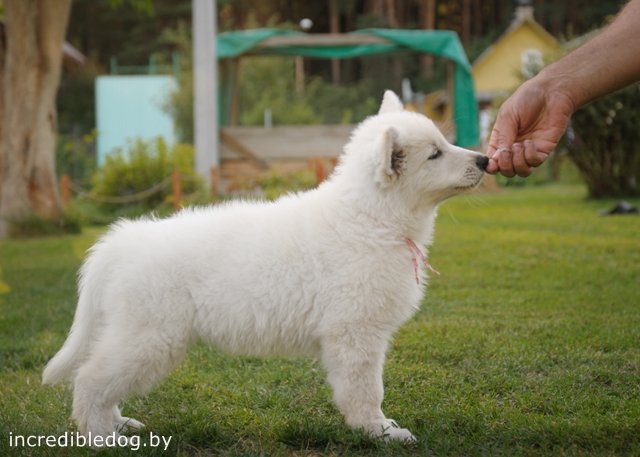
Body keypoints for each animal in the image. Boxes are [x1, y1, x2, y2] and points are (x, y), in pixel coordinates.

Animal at [42, 91, 488, 444]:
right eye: (434, 154)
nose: (485, 159)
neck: (370, 218)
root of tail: (123, 241)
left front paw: (375, 429)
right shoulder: (355, 332)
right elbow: (366, 390)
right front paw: (379, 432)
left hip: (135, 334)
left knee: (103, 378)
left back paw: (120, 425)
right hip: (149, 336)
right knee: (90, 378)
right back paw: (102, 437)